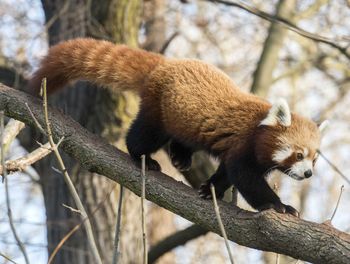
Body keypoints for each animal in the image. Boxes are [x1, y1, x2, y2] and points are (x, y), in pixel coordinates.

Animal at [28, 38, 328, 217]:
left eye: (315, 158)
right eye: (299, 154)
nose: (308, 173)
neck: (258, 129)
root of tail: (164, 63)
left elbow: (227, 173)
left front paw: (210, 189)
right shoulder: (243, 144)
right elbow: (245, 178)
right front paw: (279, 205)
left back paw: (180, 157)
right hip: (159, 109)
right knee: (144, 134)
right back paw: (143, 157)